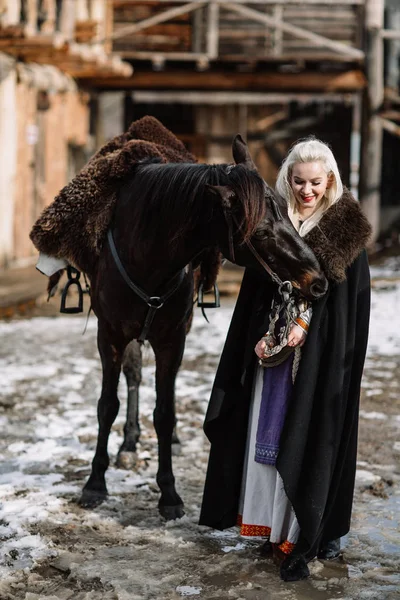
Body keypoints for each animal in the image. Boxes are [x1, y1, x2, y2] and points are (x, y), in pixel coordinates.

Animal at [79, 137, 326, 520]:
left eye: (288, 214)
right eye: (261, 232)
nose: (317, 281)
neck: (145, 256)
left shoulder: (172, 341)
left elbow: (165, 413)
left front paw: (168, 493)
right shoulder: (110, 337)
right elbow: (107, 405)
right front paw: (95, 483)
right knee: (133, 376)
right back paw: (129, 443)